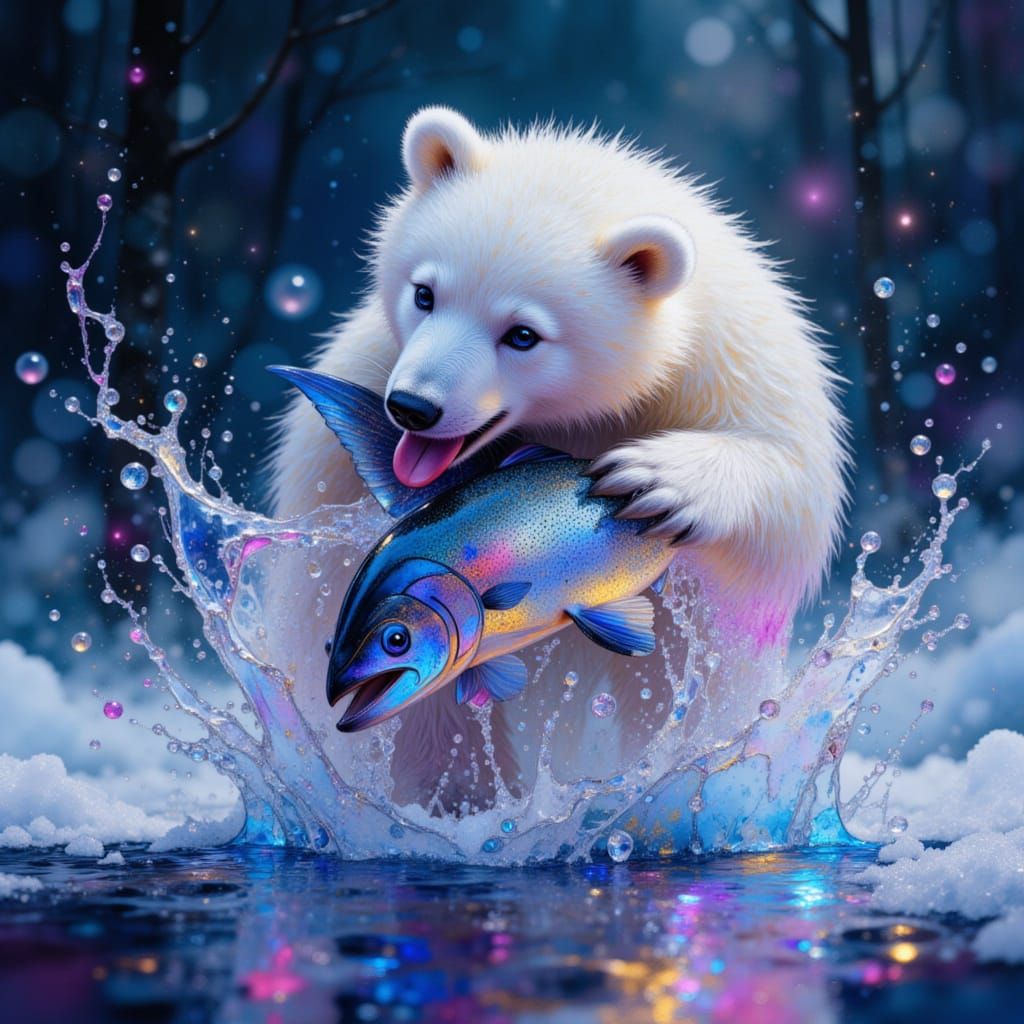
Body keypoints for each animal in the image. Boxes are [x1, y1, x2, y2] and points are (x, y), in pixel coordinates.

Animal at [266, 107, 849, 815]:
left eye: (523, 334)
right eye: (425, 293)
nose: (412, 407)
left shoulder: (736, 370)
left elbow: (788, 499)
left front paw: (655, 479)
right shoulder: (355, 405)